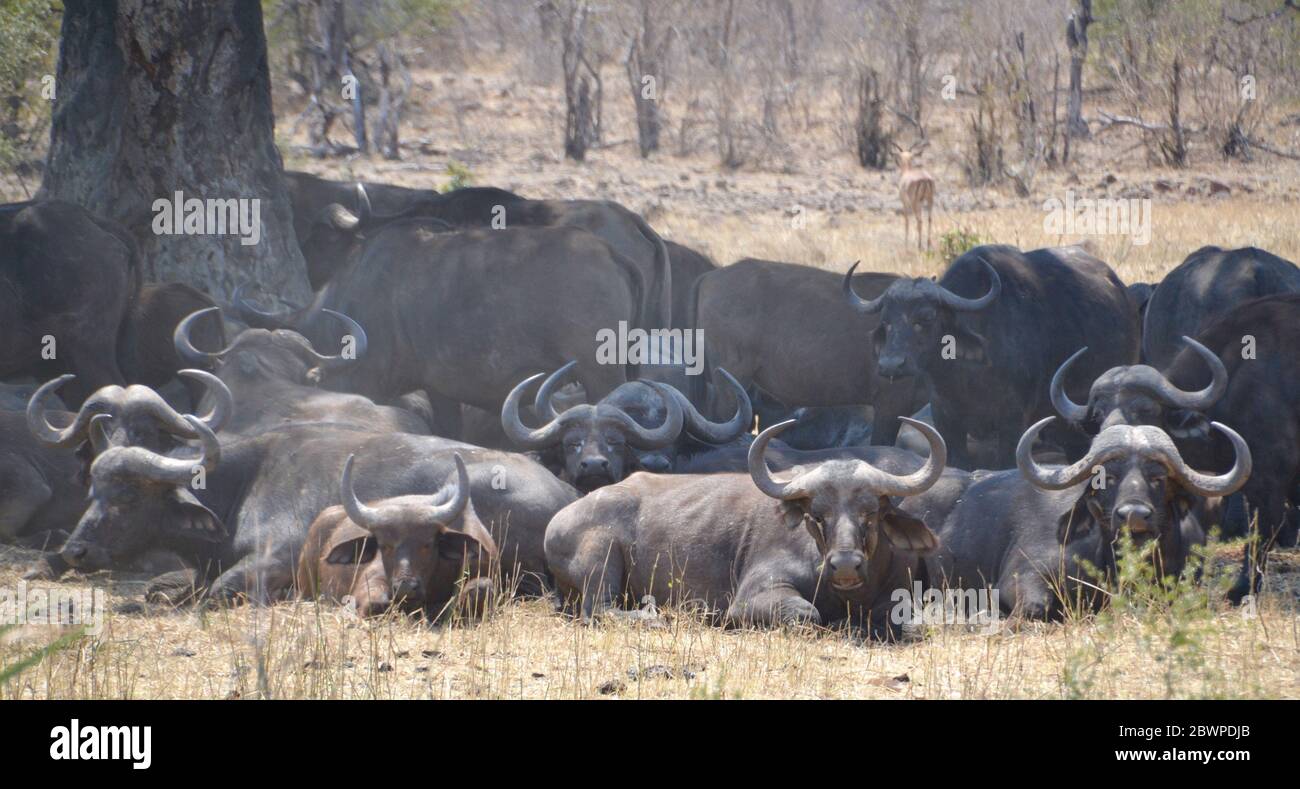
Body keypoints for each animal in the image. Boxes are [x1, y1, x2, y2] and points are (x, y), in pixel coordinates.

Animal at [543, 415, 951, 631]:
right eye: (817, 515)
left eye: (871, 512)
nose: (846, 564)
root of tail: (560, 518)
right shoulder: (751, 599)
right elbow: (808, 613)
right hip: (601, 558)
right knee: (597, 609)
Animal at [842, 244, 1138, 467]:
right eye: (886, 321)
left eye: (925, 317)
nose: (891, 365)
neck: (964, 375)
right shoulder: (947, 420)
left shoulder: (1012, 422)